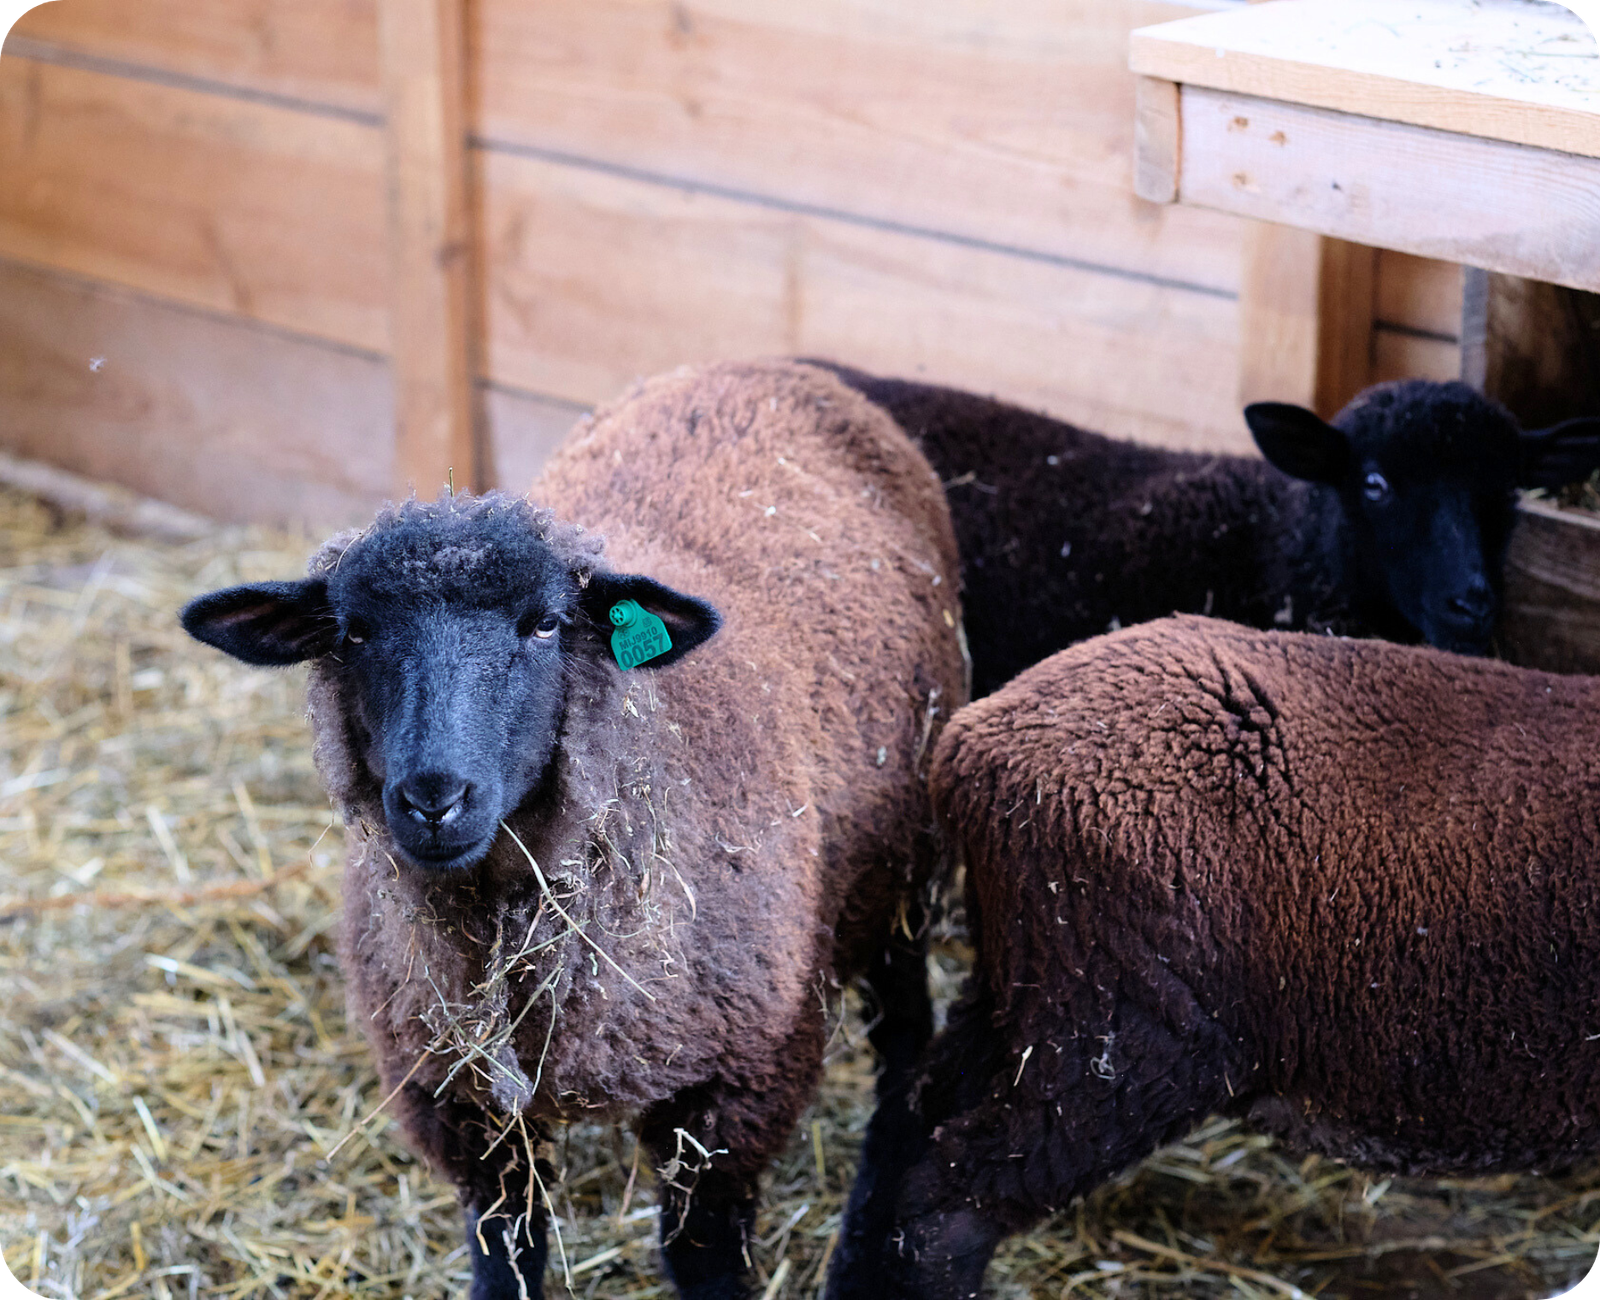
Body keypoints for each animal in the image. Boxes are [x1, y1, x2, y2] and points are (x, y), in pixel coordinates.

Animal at [179, 359, 967, 1300]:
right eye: (356, 632)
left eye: (546, 623)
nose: (434, 797)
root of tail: (777, 367)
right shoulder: (463, 1098)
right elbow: (506, 1251)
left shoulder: (738, 1087)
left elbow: (701, 1256)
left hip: (903, 865)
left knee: (905, 1027)